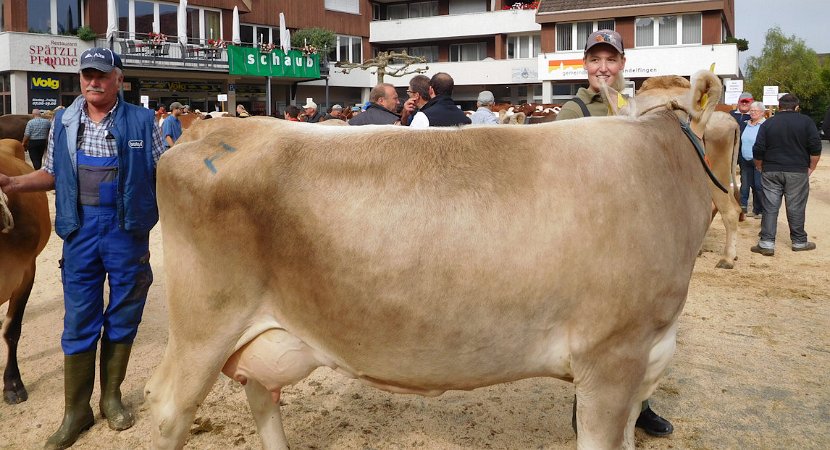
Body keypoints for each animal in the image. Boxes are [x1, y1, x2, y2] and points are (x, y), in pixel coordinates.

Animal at [148, 71, 728, 450]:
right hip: (204, 323)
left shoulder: (642, 361)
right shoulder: (610, 358)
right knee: (168, 409)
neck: (661, 164)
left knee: (262, 395)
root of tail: (216, 128)